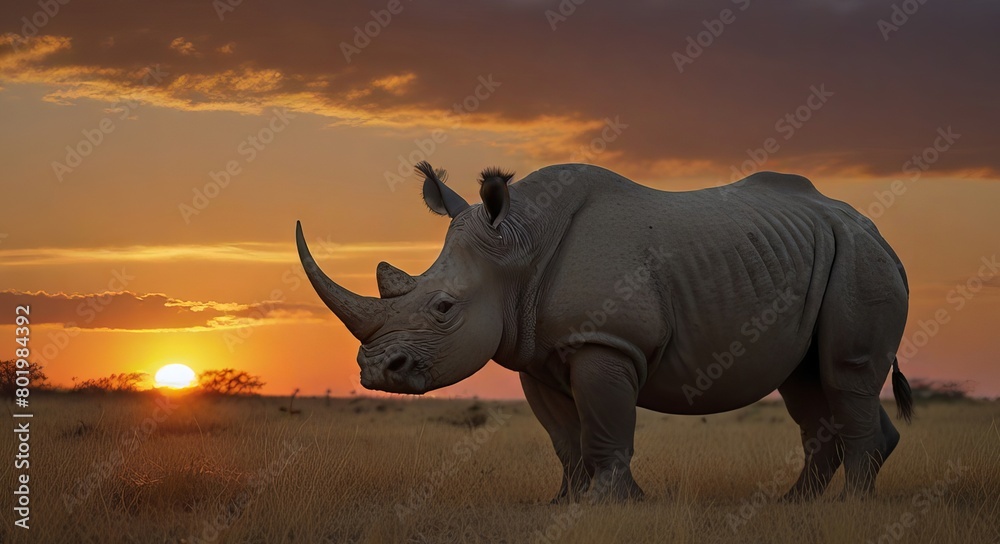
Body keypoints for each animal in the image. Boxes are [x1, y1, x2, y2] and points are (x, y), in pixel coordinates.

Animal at [296, 162, 913, 502]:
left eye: (444, 308)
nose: (376, 371)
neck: (518, 245)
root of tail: (877, 231)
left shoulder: (608, 341)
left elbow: (604, 427)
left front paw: (616, 506)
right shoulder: (536, 351)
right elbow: (565, 439)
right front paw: (564, 504)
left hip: (861, 261)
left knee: (844, 372)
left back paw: (845, 509)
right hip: (816, 255)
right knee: (808, 380)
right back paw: (795, 508)